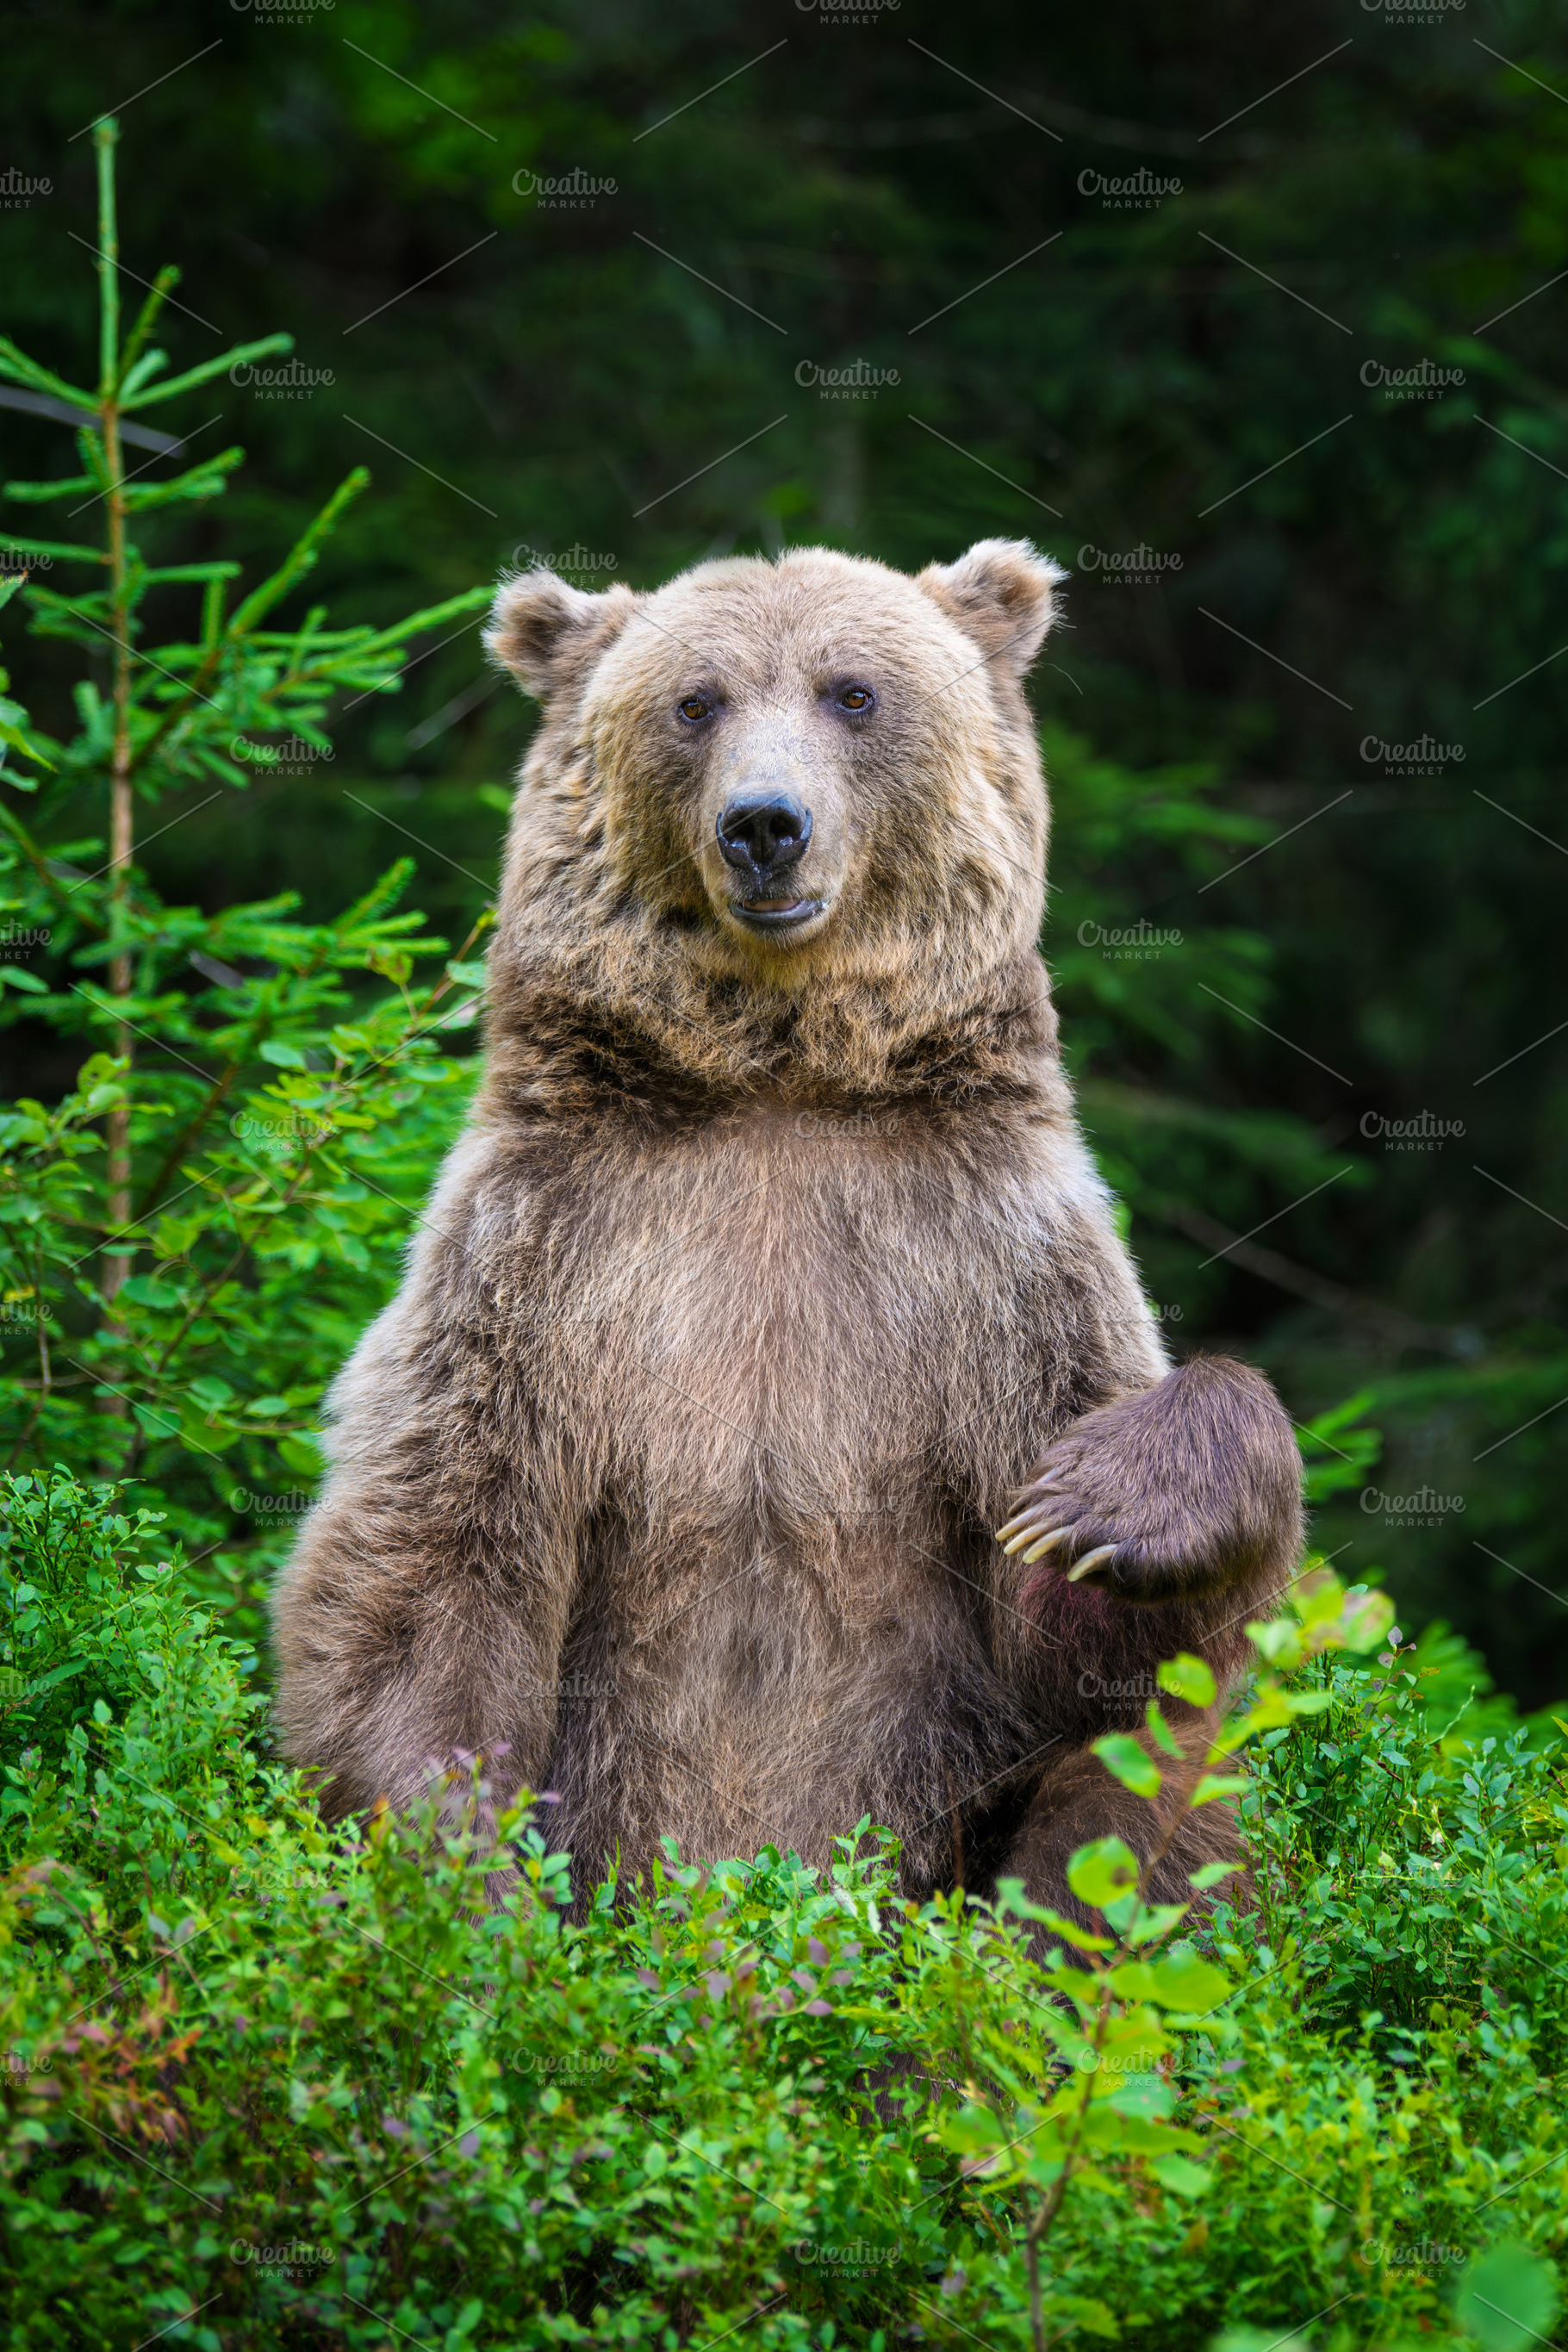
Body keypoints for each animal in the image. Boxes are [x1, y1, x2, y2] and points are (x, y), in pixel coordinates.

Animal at [270, 536, 1302, 1921]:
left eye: (851, 691)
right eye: (695, 701)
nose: (765, 825)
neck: (779, 1081)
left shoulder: (988, 1258)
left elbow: (1083, 1648)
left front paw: (1106, 1502)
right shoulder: (536, 1262)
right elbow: (430, 1571)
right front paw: (460, 1884)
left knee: (1149, 1795)